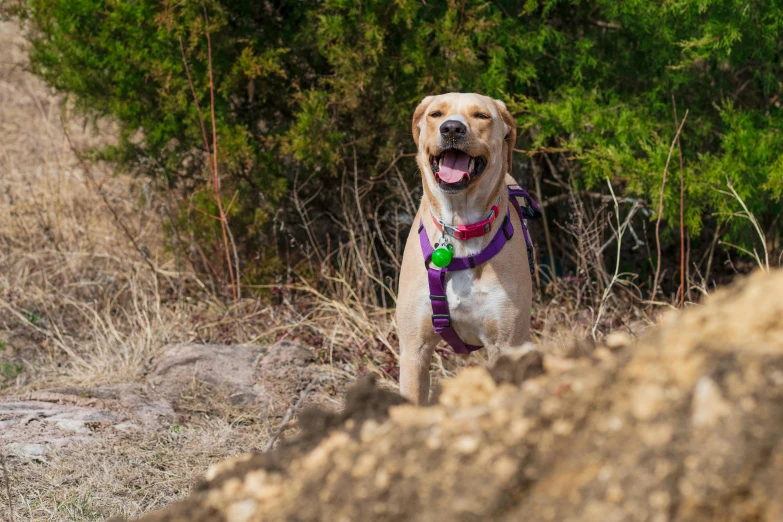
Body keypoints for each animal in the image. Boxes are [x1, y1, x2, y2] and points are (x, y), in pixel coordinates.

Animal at [396, 92, 536, 402]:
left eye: (481, 116)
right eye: (435, 114)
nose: (451, 128)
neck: (458, 230)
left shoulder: (505, 342)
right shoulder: (413, 349)